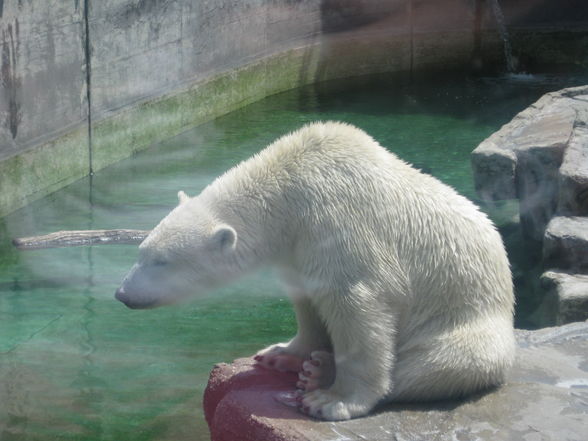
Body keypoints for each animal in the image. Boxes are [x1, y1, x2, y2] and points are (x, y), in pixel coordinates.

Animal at [115, 119, 516, 420]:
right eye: (142, 251)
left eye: (162, 262)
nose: (122, 293)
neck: (289, 186)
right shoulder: (296, 245)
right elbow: (306, 297)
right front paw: (281, 354)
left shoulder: (338, 223)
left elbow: (359, 303)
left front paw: (332, 401)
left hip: (467, 324)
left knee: (440, 364)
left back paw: (322, 375)